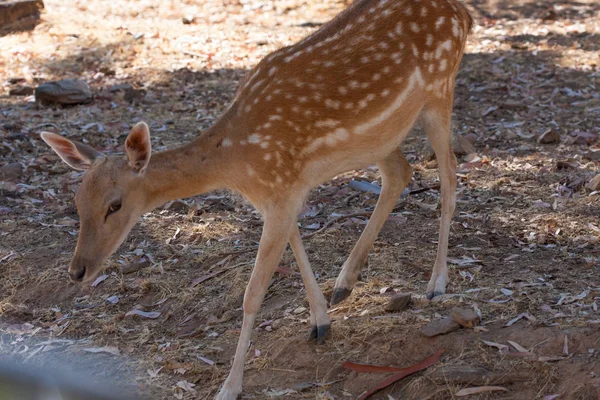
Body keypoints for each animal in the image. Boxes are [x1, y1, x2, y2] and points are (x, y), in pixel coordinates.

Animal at [41, 0, 474, 396]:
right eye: (77, 202)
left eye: (114, 205)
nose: (77, 271)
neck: (236, 161)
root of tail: (462, 14)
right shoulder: (283, 192)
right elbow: (295, 243)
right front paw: (320, 321)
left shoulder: (281, 189)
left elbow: (252, 295)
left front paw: (230, 387)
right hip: (380, 137)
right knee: (401, 172)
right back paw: (345, 282)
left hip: (440, 91)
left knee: (450, 175)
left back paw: (436, 283)